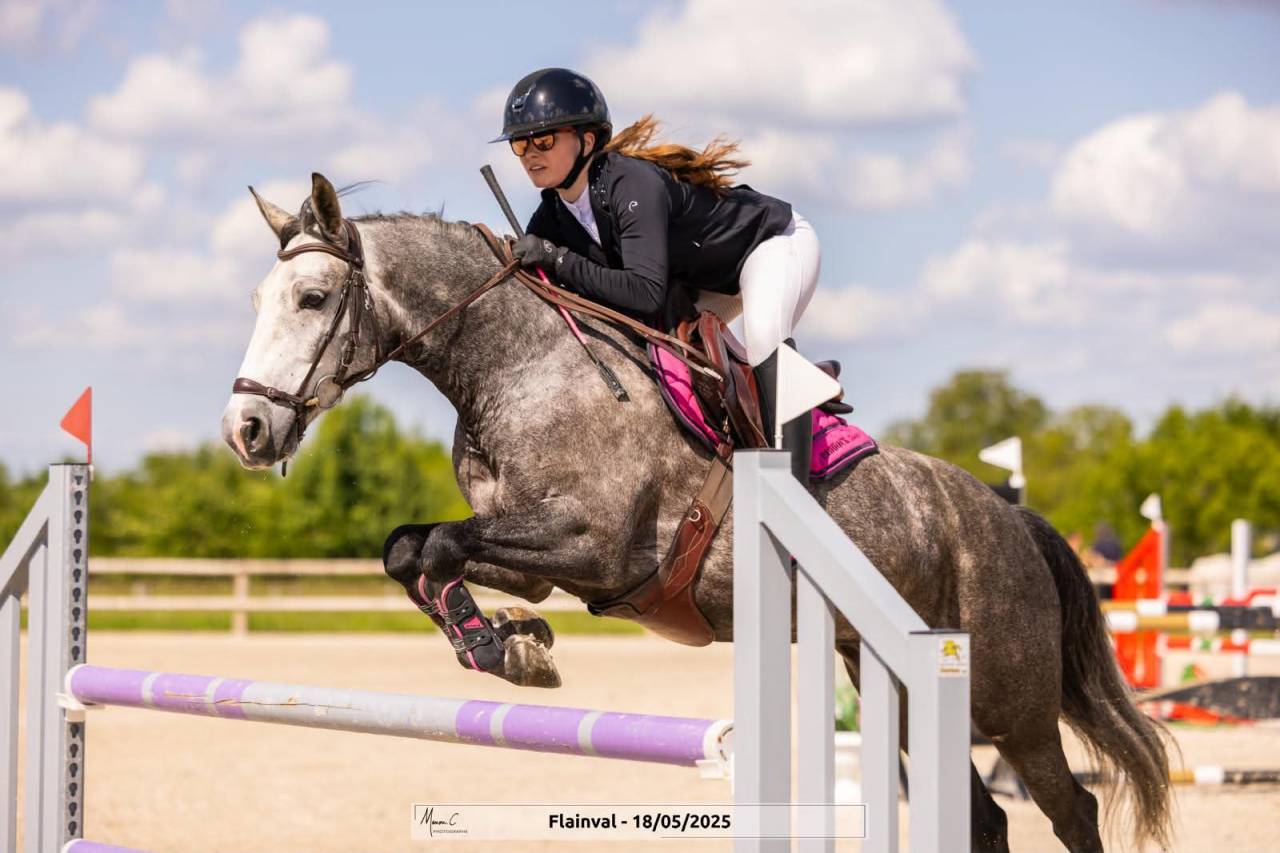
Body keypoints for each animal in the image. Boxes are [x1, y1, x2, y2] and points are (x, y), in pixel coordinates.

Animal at [220, 174, 1171, 853]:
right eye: (258, 302)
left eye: (312, 299)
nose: (246, 429)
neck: (517, 364)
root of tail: (1011, 520)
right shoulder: (534, 554)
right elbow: (412, 549)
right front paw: (510, 643)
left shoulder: (593, 544)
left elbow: (440, 544)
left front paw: (506, 647)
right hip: (899, 685)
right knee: (985, 818)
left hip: (1012, 702)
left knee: (1071, 808)